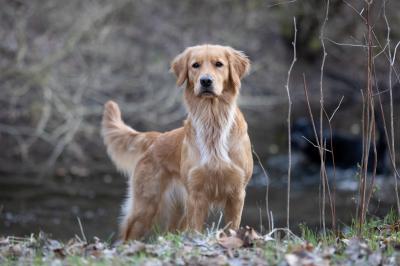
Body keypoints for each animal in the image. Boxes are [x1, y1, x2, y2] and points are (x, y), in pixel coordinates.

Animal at [103, 44, 253, 241]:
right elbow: (196, 229)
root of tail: (156, 137)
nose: (206, 81)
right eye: (195, 65)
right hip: (146, 206)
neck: (212, 121)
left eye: (219, 64)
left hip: (176, 212)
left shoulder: (236, 193)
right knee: (128, 235)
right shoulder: (196, 195)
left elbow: (232, 228)